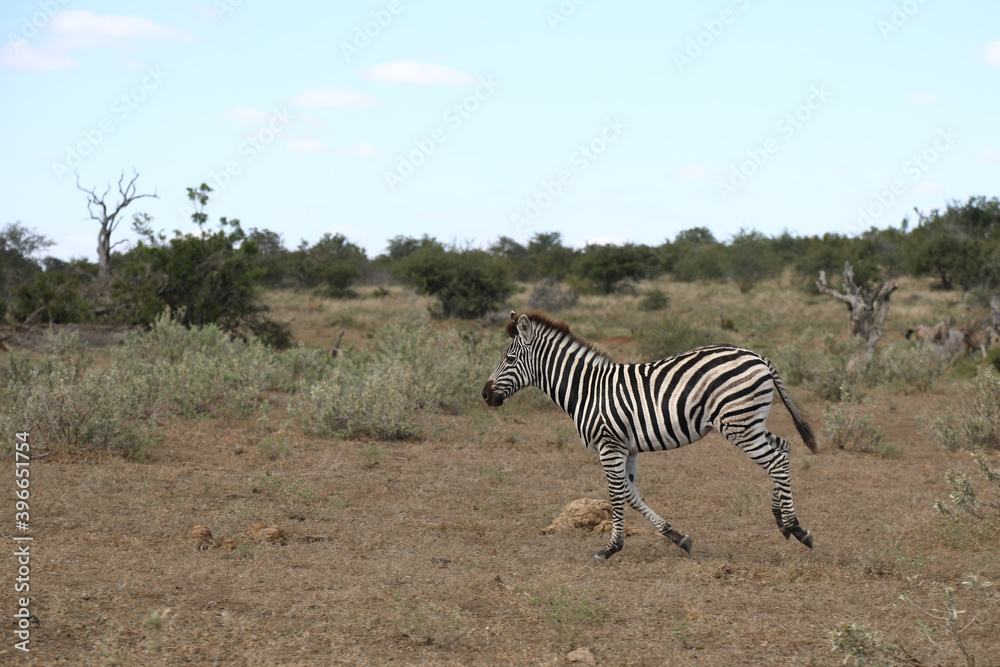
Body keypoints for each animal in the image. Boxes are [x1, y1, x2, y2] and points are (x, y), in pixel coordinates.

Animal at [482, 311, 816, 562]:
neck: (587, 390)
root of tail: (757, 355)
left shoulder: (609, 445)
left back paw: (797, 528)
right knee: (784, 449)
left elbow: (616, 495)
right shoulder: (626, 448)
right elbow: (631, 495)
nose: (485, 395)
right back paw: (781, 520)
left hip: (739, 426)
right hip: (749, 422)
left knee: (775, 462)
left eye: (509, 359)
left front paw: (609, 549)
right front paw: (678, 538)